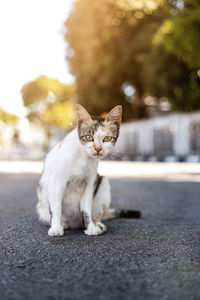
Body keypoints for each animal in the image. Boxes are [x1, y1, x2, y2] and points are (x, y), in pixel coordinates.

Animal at [36, 103, 140, 237]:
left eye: (107, 139)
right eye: (89, 137)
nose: (98, 148)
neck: (83, 157)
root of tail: (75, 223)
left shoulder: (90, 183)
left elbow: (86, 208)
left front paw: (90, 227)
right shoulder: (56, 182)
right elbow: (56, 208)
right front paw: (56, 228)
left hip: (103, 184)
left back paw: (97, 224)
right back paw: (63, 224)